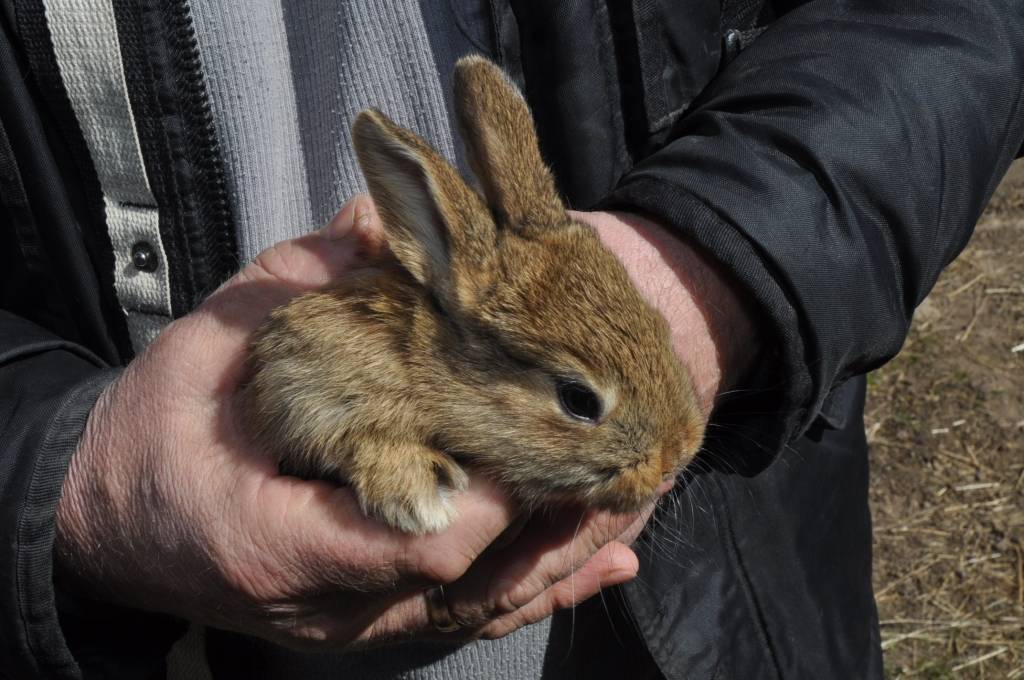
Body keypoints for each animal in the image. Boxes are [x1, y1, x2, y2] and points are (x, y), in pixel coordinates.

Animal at [239, 57, 704, 536]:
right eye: (579, 400)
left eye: (661, 325)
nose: (674, 460)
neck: (427, 357)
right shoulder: (300, 383)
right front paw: (416, 489)